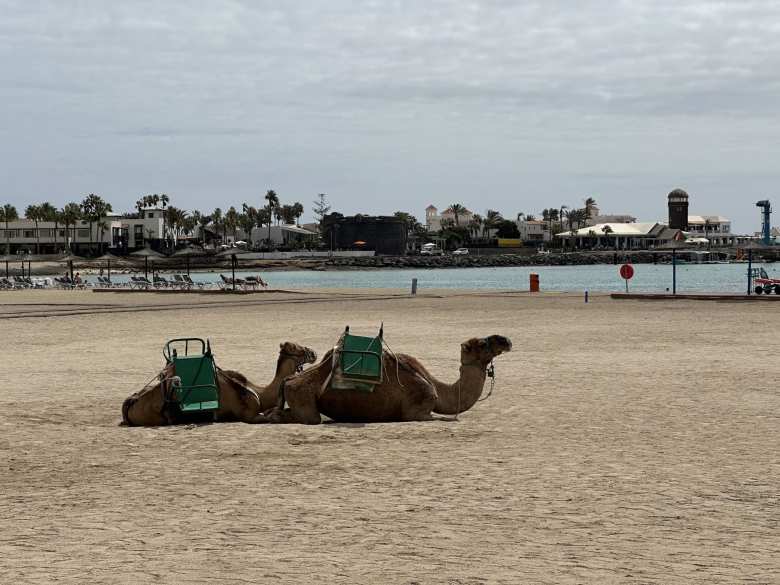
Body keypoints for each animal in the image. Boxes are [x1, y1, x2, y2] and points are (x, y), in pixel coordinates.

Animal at [121, 342, 317, 426]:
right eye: (296, 348)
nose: (313, 352)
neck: (258, 393)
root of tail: (131, 403)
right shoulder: (248, 416)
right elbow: (268, 417)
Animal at [258, 335, 512, 424]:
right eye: (482, 343)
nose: (506, 341)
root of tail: (288, 380)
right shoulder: (417, 410)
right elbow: (437, 418)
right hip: (304, 398)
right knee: (308, 418)